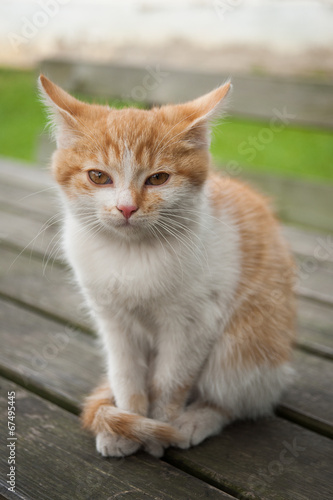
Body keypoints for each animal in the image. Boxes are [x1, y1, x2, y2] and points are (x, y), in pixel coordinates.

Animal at [39, 74, 296, 458]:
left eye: (158, 179)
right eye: (98, 177)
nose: (126, 208)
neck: (131, 256)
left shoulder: (195, 323)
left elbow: (170, 383)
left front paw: (159, 430)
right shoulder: (111, 320)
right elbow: (126, 376)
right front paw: (130, 423)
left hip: (246, 347)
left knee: (237, 398)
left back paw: (196, 420)